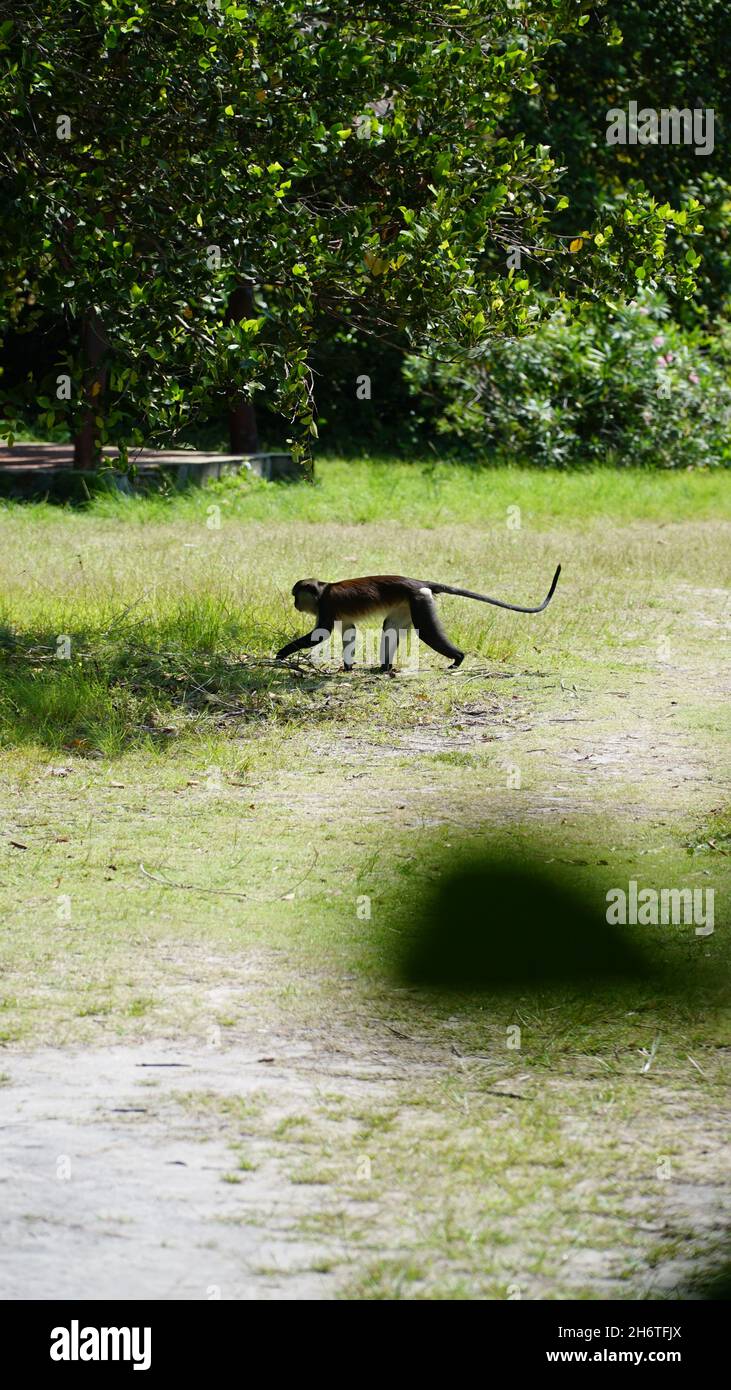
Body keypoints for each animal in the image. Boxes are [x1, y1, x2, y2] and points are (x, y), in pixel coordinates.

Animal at [275, 564, 561, 672]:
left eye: (296, 596)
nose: (295, 604)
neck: (323, 589)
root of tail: (417, 582)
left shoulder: (327, 606)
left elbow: (321, 634)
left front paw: (281, 653)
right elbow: (350, 631)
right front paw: (347, 667)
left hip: (419, 601)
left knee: (426, 631)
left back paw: (458, 659)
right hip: (407, 603)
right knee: (390, 627)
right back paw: (385, 668)